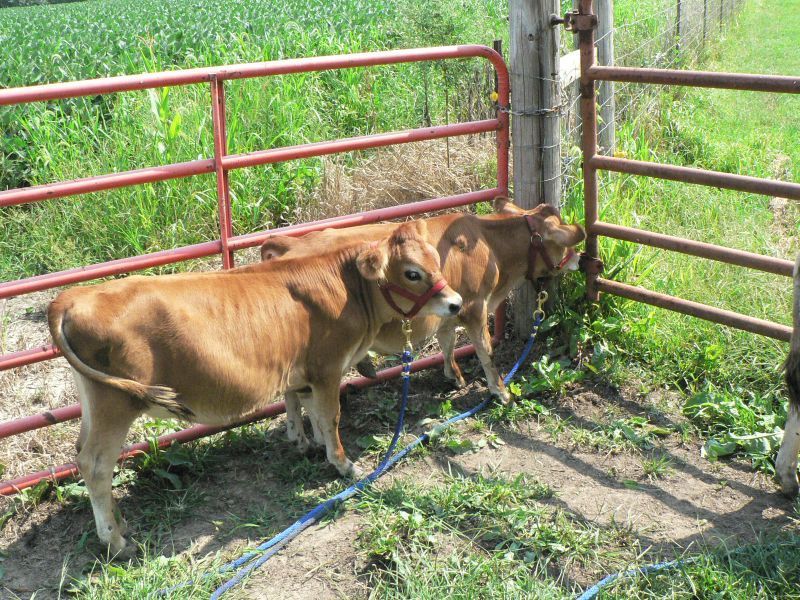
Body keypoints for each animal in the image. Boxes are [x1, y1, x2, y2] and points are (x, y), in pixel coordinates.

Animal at [47, 220, 462, 555]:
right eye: (412, 273)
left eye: (435, 261)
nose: (457, 303)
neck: (344, 286)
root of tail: (71, 297)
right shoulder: (327, 368)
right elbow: (330, 416)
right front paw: (343, 464)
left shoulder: (300, 369)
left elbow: (302, 405)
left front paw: (304, 442)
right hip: (115, 403)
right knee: (95, 465)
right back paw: (115, 541)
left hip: (94, 399)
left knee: (82, 454)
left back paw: (121, 522)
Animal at [260, 198, 585, 452]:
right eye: (562, 243)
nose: (580, 259)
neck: (488, 243)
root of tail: (289, 242)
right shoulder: (475, 306)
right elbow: (485, 352)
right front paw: (501, 392)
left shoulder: (451, 307)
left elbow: (447, 342)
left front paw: (454, 376)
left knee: (290, 392)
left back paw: (299, 438)